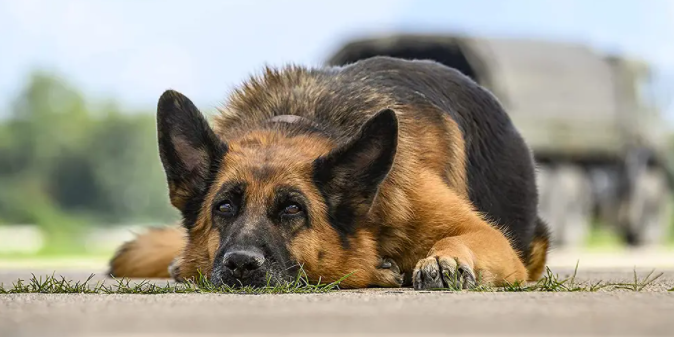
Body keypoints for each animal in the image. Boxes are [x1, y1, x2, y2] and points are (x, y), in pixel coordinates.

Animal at [107, 55, 548, 288]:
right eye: (224, 207)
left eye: (292, 209)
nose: (241, 265)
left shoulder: (491, 239)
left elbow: (463, 237)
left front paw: (445, 260)